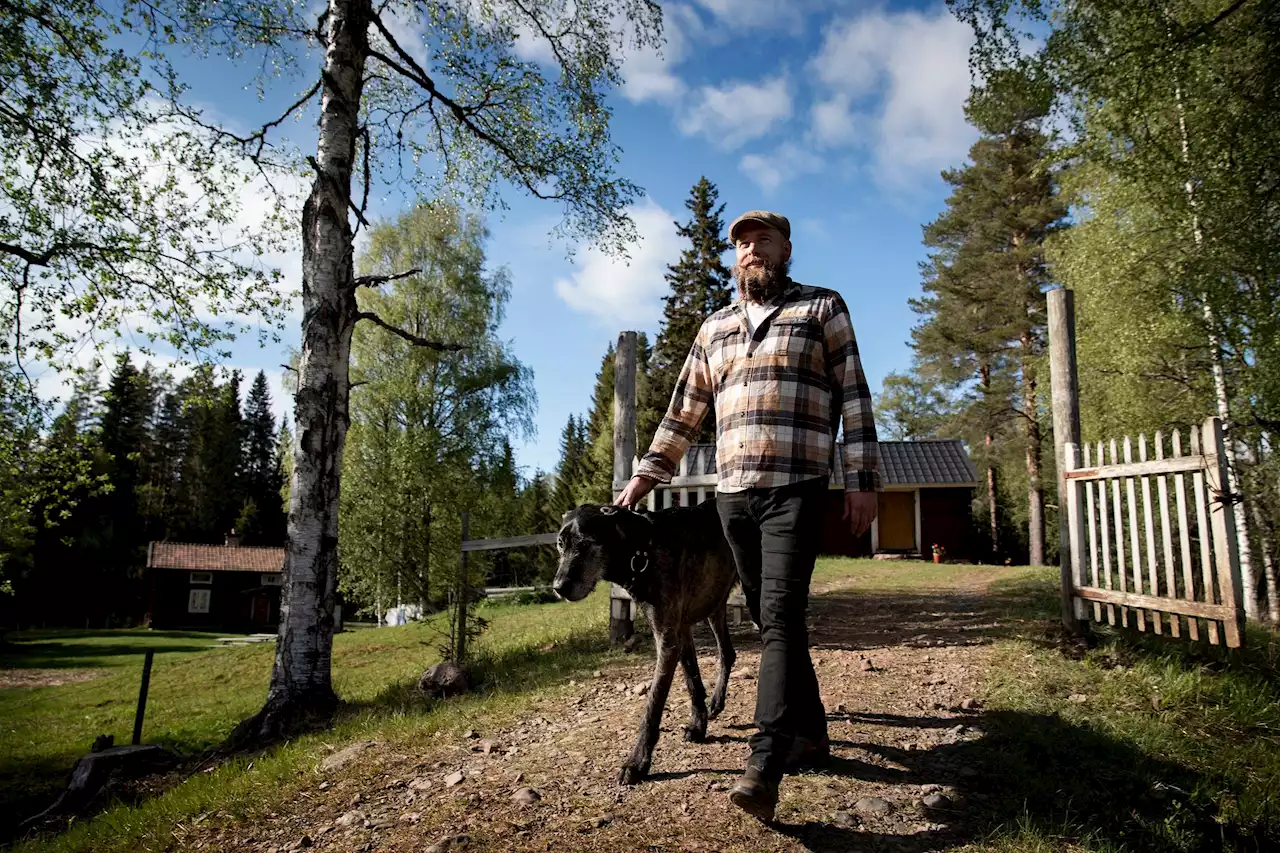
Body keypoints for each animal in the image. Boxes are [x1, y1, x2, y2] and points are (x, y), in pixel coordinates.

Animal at [552, 499, 742, 783]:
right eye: (560, 544)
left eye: (586, 543)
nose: (559, 587)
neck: (641, 549)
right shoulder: (679, 631)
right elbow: (693, 681)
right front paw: (699, 726)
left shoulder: (667, 642)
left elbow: (652, 706)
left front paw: (637, 762)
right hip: (715, 605)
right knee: (727, 652)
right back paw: (717, 702)